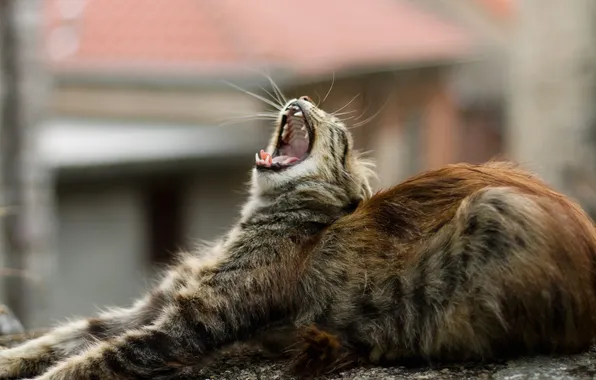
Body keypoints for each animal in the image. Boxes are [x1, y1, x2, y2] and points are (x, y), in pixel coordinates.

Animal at [1, 95, 596, 380]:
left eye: (341, 134)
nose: (302, 100)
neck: (256, 219)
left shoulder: (187, 324)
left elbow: (89, 359)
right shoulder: (154, 304)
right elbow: (62, 338)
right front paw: (12, 359)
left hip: (495, 211)